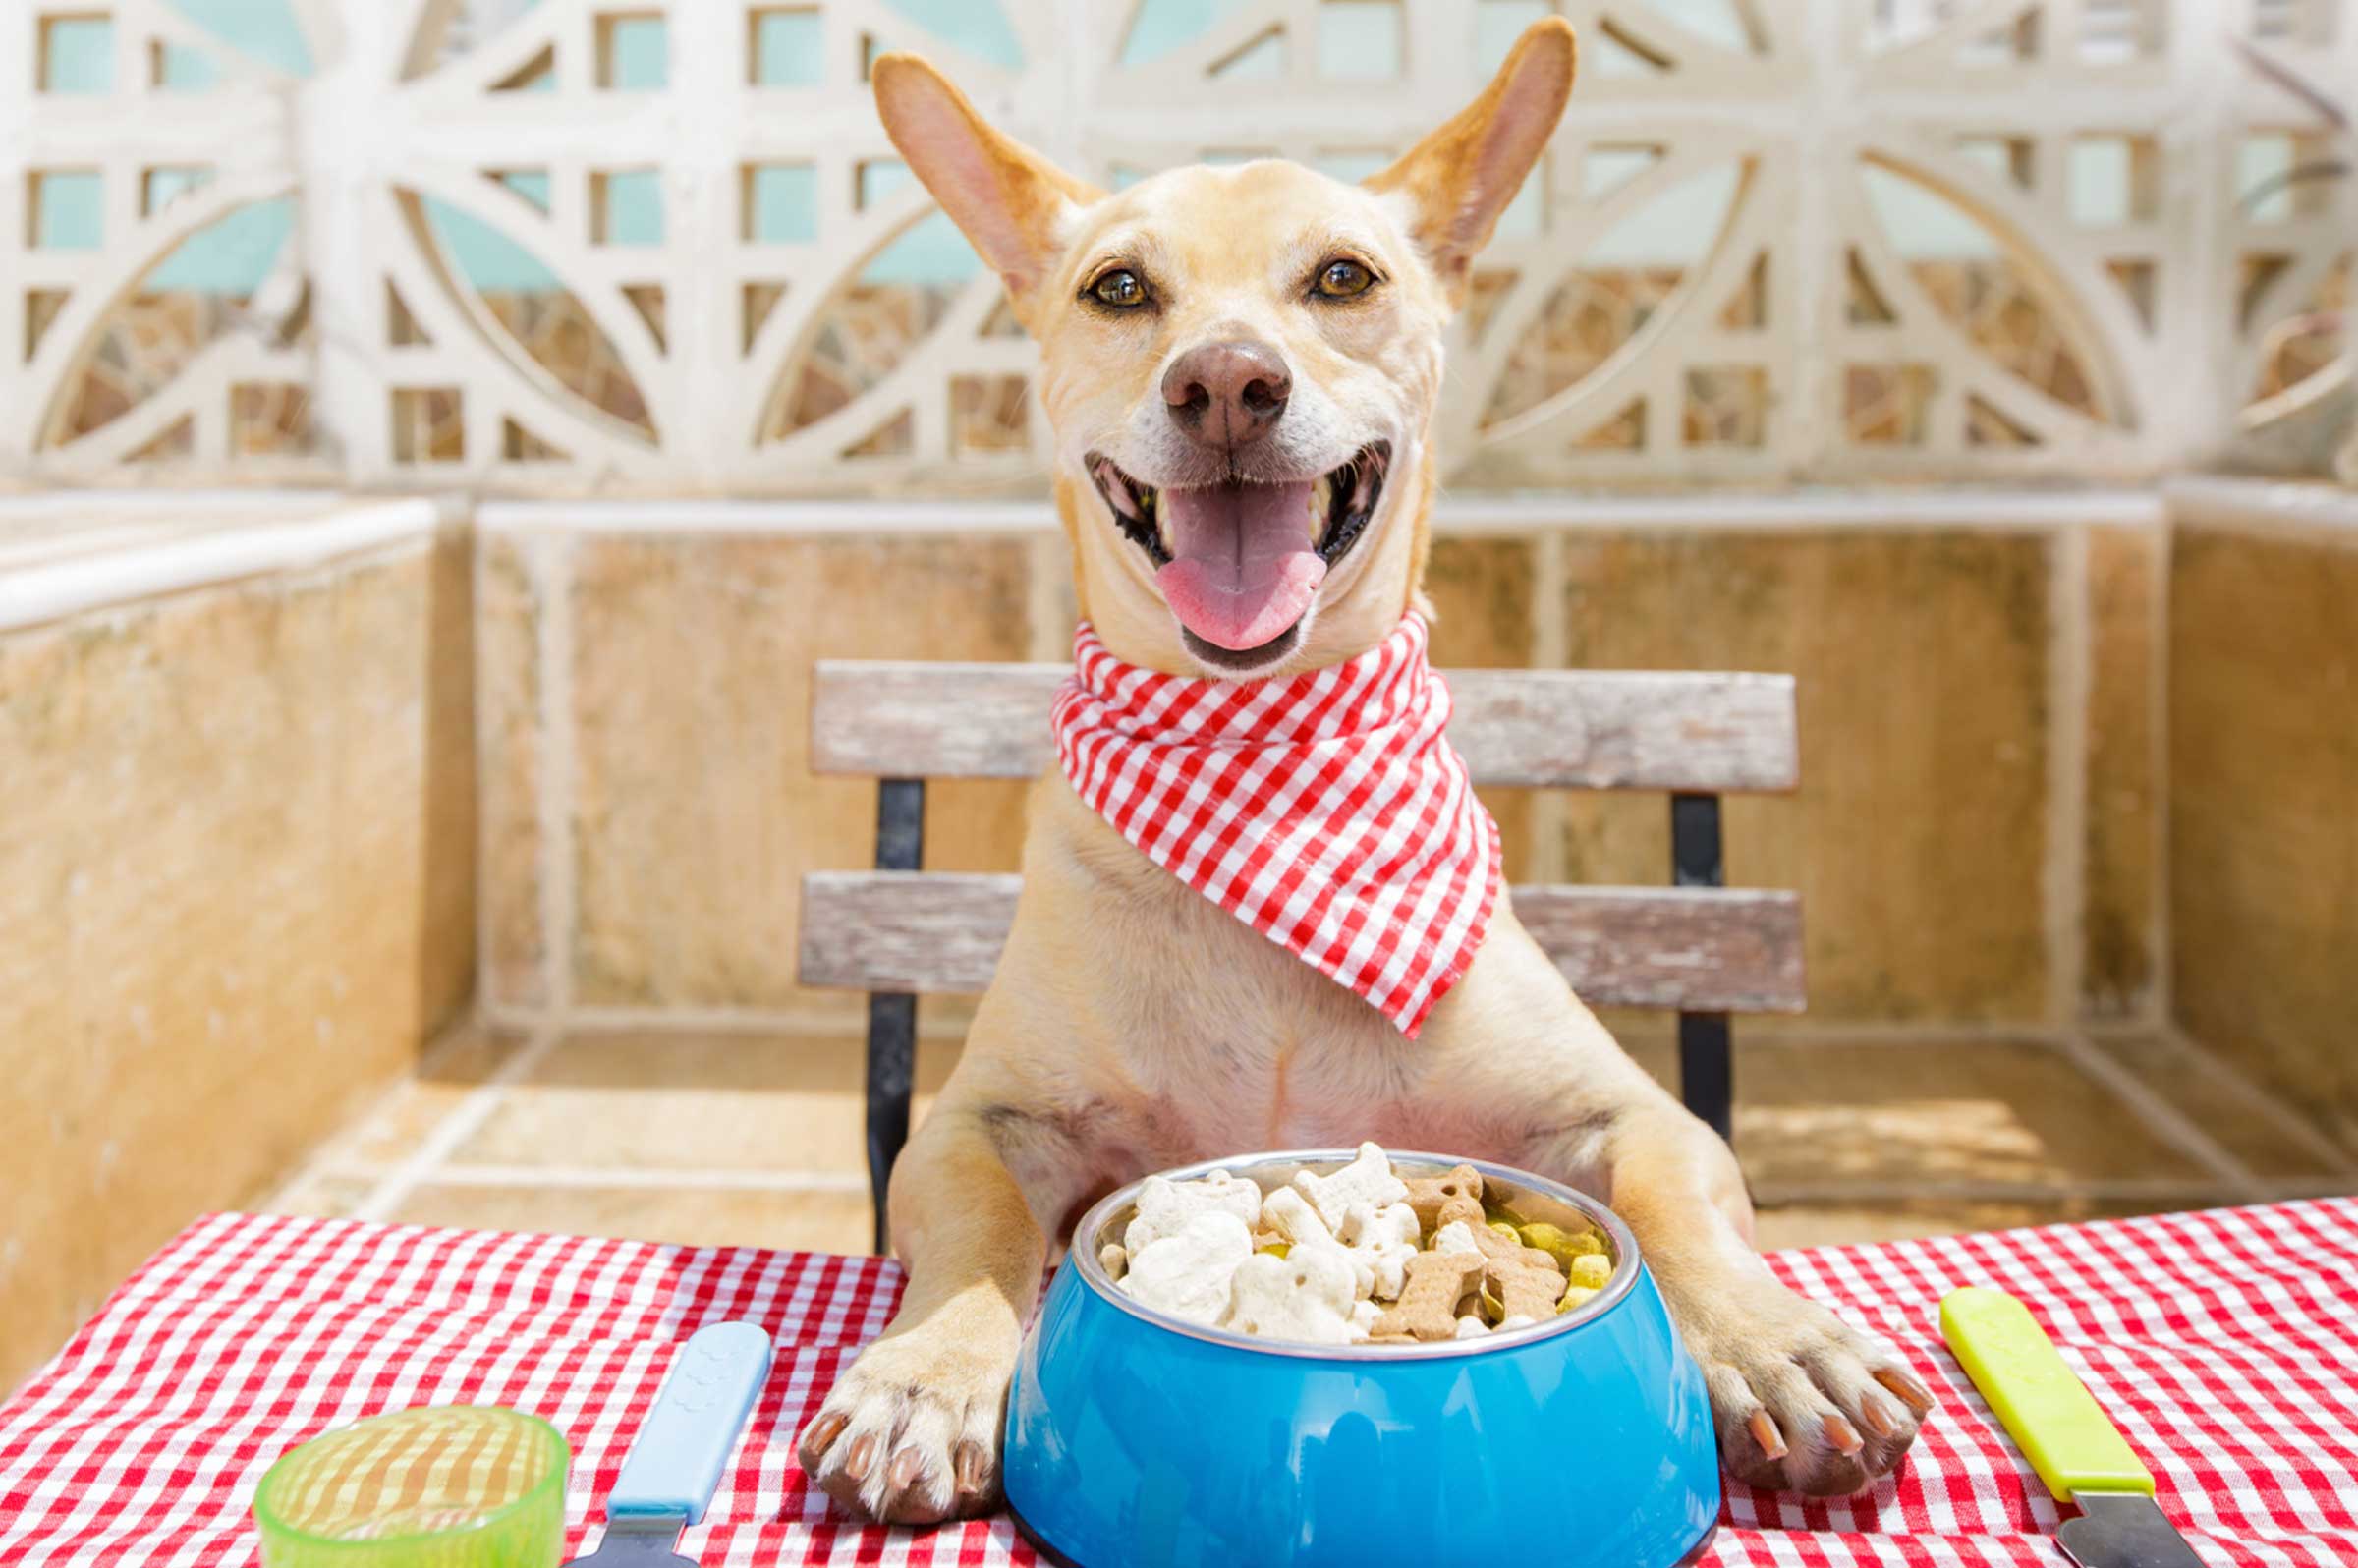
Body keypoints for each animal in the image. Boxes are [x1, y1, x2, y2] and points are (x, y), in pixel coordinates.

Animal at [792, 21, 1934, 1518]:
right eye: (1119, 288)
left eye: (1344, 276)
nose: (1225, 383)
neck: (1267, 769)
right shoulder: (978, 1123)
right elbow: (980, 1229)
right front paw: (927, 1371)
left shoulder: (1634, 1114)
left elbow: (1677, 1209)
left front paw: (1775, 1339)